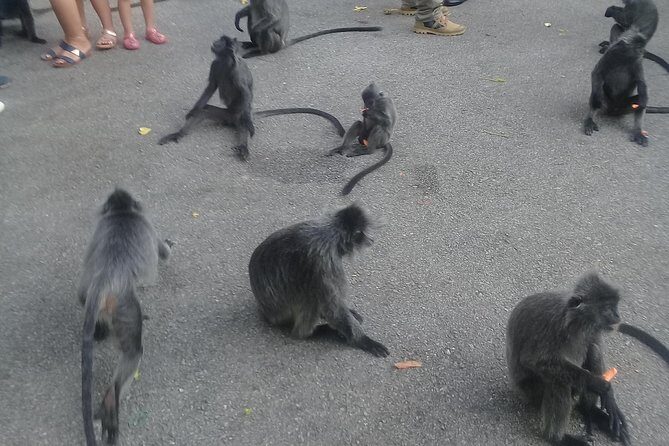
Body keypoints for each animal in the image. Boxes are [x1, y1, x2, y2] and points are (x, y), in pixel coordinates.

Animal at [78, 189, 172, 445]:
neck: (122, 212)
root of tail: (106, 279)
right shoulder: (148, 224)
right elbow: (164, 253)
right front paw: (168, 247)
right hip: (124, 306)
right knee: (133, 351)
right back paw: (111, 399)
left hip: (94, 292)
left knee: (82, 296)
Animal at [159, 35, 345, 159]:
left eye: (220, 42)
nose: (214, 43)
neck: (226, 62)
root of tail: (230, 119)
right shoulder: (215, 65)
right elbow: (210, 88)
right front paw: (192, 110)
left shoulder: (237, 72)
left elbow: (246, 92)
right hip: (225, 114)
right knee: (204, 111)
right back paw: (178, 134)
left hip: (239, 113)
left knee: (243, 123)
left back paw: (243, 145)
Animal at [234, 0, 382, 59]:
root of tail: (283, 43)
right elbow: (250, 9)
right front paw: (238, 16)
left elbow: (273, 18)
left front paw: (256, 31)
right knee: (252, 14)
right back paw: (252, 44)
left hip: (276, 43)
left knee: (267, 30)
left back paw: (261, 52)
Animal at [248, 203, 389, 357]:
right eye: (364, 234)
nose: (371, 240)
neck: (330, 232)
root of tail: (266, 313)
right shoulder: (324, 260)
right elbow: (333, 308)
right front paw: (363, 340)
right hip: (282, 312)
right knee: (312, 297)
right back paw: (310, 334)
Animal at [506, 272, 631, 446]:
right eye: (607, 308)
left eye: (615, 306)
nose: (617, 316)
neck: (578, 321)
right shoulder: (552, 324)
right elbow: (534, 361)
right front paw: (600, 385)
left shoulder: (593, 329)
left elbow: (593, 345)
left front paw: (610, 397)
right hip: (531, 391)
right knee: (559, 382)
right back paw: (557, 438)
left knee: (593, 349)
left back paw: (590, 411)